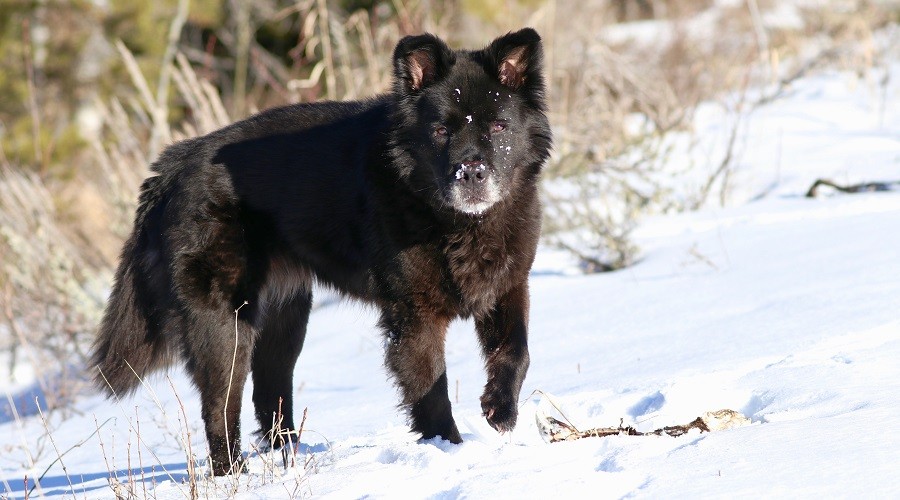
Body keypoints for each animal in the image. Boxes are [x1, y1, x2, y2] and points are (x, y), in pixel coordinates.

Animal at [95, 28, 552, 476]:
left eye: (499, 126)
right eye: (441, 131)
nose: (470, 173)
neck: (458, 223)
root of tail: (175, 163)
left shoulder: (506, 287)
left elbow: (518, 352)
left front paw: (500, 411)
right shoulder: (413, 316)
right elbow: (431, 390)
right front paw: (450, 452)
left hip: (286, 318)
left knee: (269, 395)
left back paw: (292, 461)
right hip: (226, 326)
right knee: (220, 408)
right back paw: (236, 475)